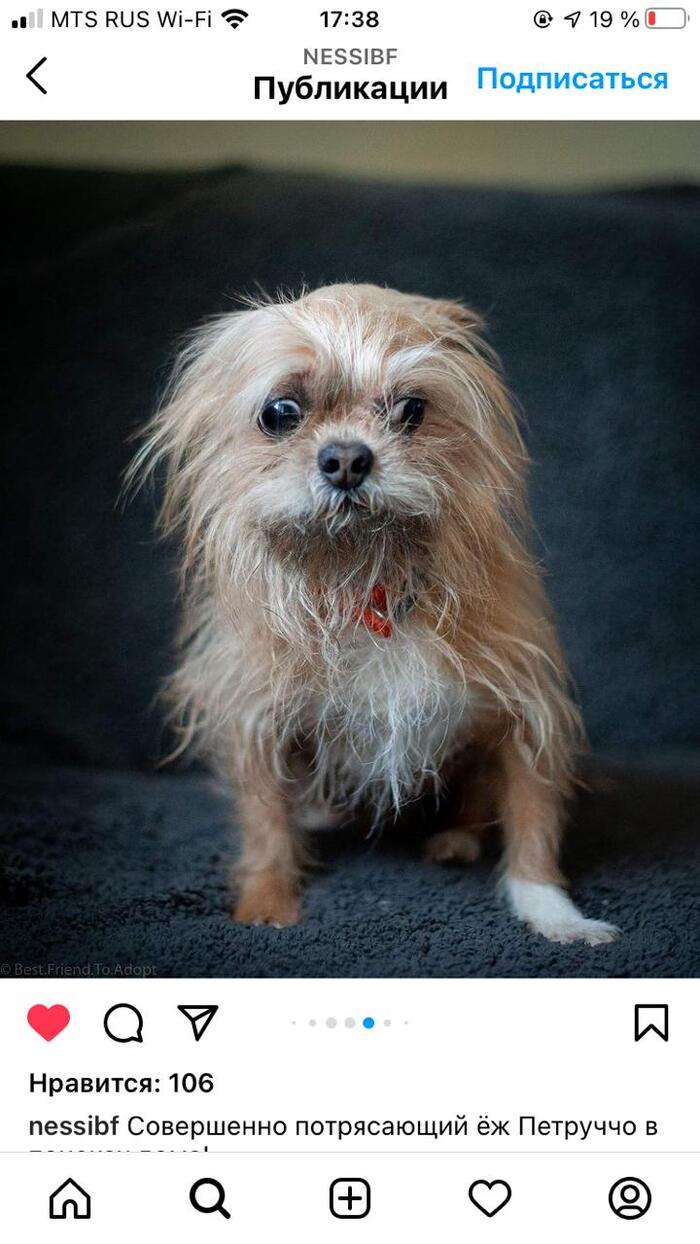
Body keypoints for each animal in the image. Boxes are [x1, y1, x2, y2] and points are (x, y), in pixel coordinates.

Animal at [132, 283, 618, 945]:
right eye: (280, 413)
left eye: (411, 409)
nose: (345, 459)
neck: (366, 585)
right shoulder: (256, 720)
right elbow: (264, 825)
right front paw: (266, 902)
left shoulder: (527, 717)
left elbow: (533, 827)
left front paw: (555, 915)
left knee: (477, 804)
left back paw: (455, 842)